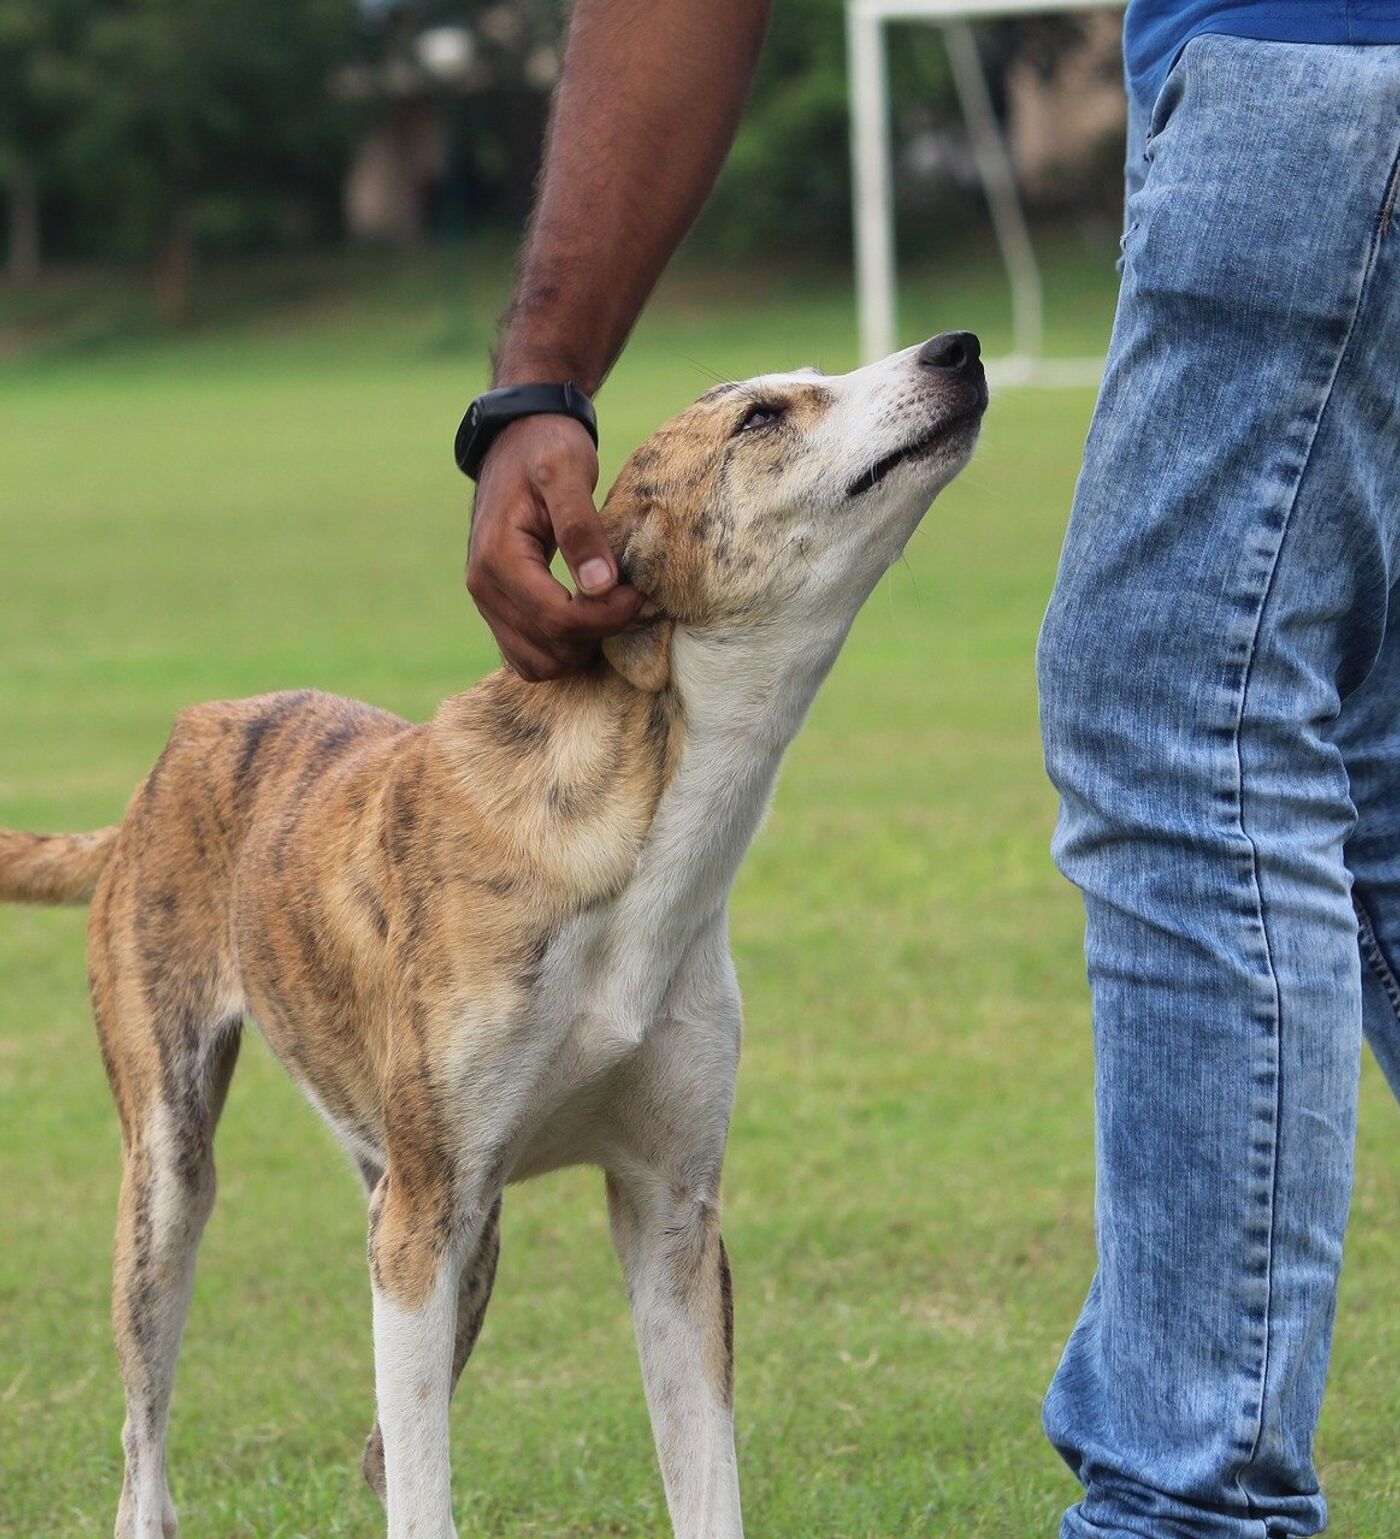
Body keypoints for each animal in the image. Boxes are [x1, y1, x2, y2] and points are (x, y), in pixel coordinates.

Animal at [0, 337, 984, 1539]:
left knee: (376, 1450)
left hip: (440, 1222)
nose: (957, 349)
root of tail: (172, 757)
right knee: (147, 1445)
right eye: (759, 418)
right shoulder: (422, 1227)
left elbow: (703, 1485)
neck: (643, 835)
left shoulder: (670, 1219)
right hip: (182, 1182)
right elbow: (426, 1499)